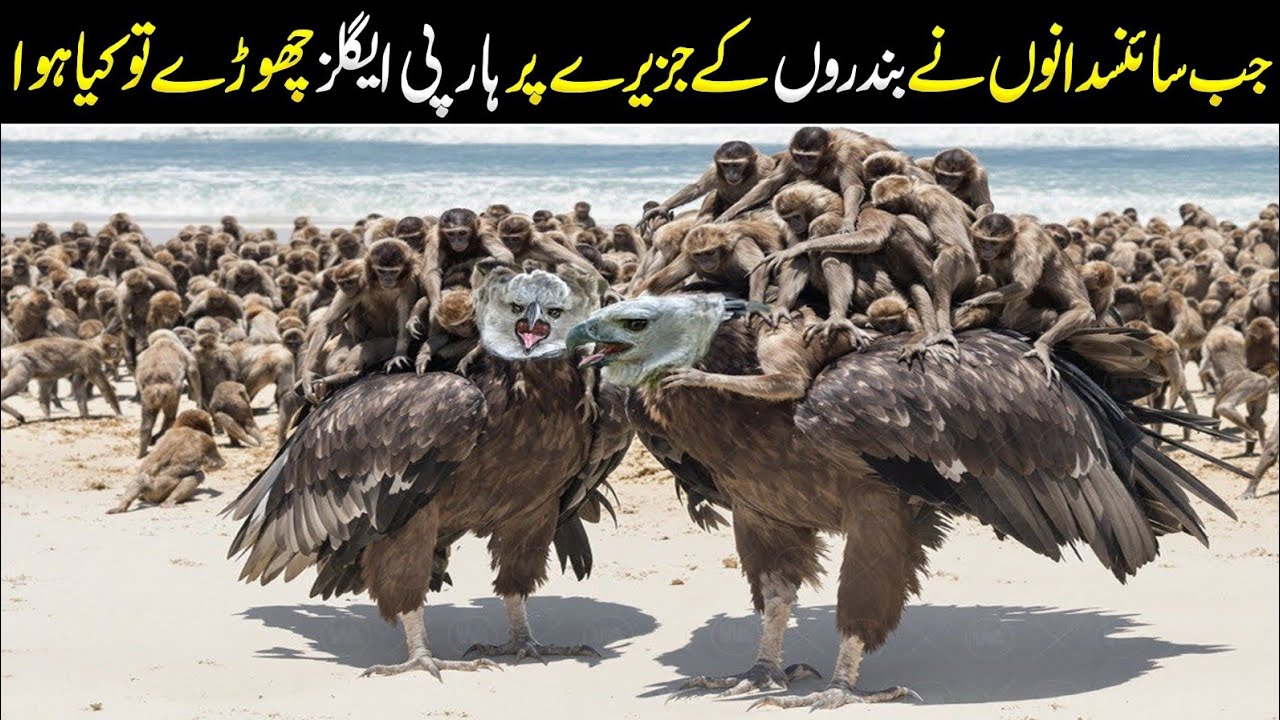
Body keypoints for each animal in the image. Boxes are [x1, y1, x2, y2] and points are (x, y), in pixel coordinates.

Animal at [715, 127, 895, 229]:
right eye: (801, 157)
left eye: (810, 157)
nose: (804, 165)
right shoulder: (791, 154)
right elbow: (771, 182)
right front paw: (731, 210)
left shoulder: (847, 153)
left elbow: (852, 187)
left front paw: (848, 220)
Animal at [960, 213, 1096, 381]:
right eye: (983, 241)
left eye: (993, 243)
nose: (987, 249)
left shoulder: (1028, 241)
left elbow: (1024, 285)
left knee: (1065, 311)